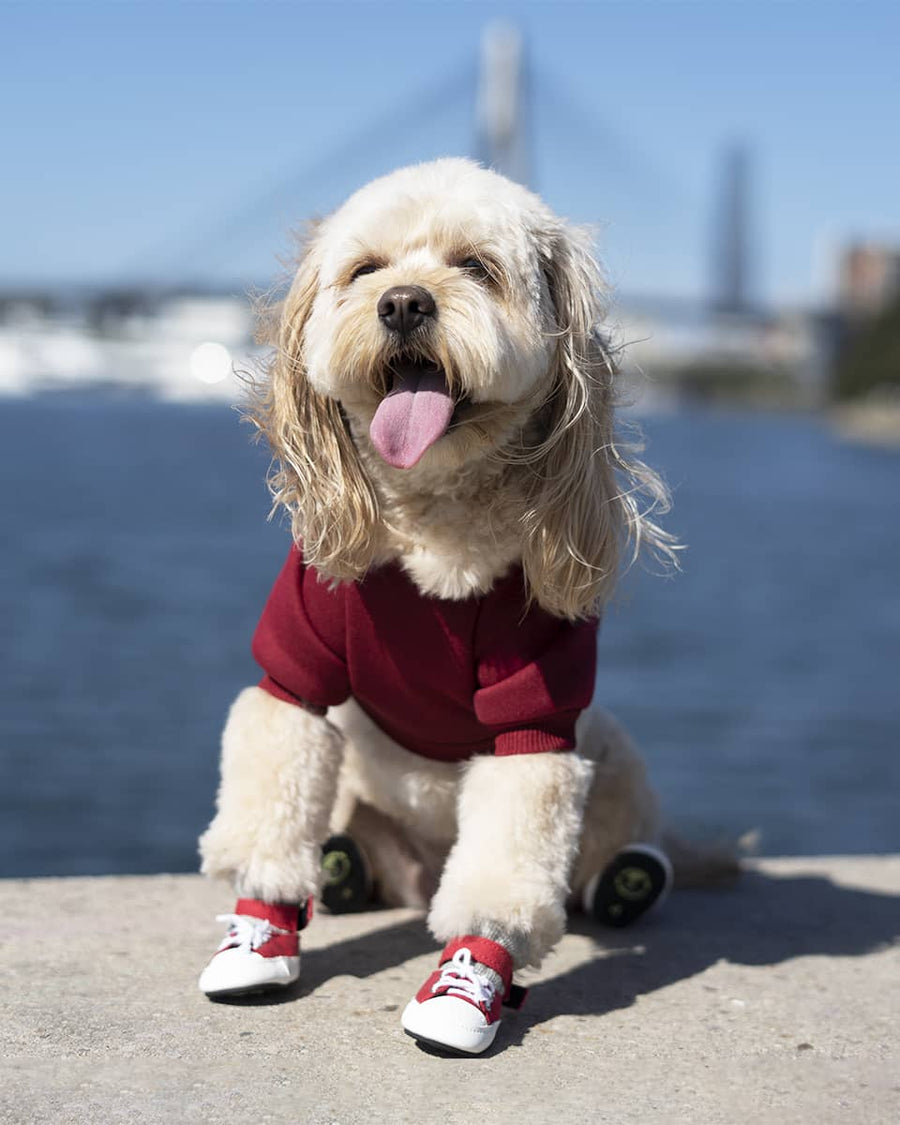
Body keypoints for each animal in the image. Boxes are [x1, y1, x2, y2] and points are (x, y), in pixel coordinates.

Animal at [199, 156, 729, 1053]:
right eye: (365, 270)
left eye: (477, 267)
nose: (404, 303)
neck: (435, 518)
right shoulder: (298, 660)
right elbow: (274, 786)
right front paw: (258, 933)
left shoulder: (538, 709)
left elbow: (508, 855)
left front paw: (467, 981)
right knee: (345, 841)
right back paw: (343, 868)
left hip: (614, 762)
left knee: (610, 857)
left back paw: (628, 880)